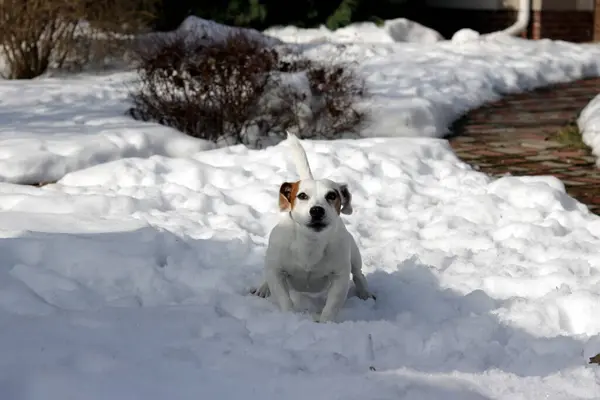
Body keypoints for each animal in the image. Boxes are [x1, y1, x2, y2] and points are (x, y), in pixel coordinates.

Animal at [252, 133, 376, 324]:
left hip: (354, 255)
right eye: (302, 195)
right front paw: (290, 317)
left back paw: (365, 293)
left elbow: (332, 304)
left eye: (332, 195)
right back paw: (263, 288)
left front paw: (324, 322)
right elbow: (283, 297)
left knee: (358, 274)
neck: (310, 242)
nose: (317, 210)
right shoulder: (277, 271)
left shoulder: (340, 276)